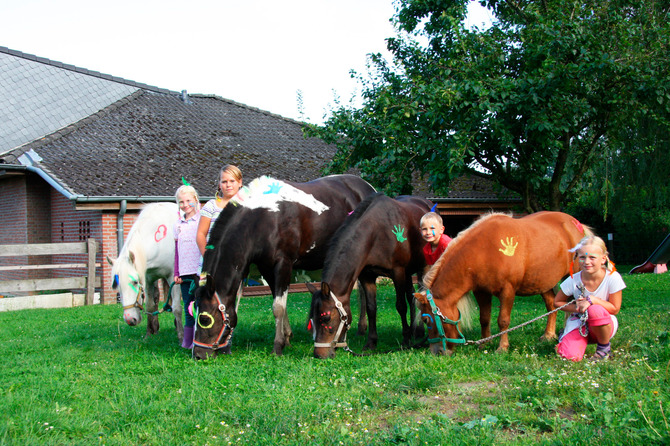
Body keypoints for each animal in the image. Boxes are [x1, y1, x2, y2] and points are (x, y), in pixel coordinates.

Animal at [109, 203, 185, 342]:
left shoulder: (174, 277)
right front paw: (149, 333)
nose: (130, 319)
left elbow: (177, 308)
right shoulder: (149, 277)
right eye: (117, 286)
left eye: (134, 282)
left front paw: (181, 337)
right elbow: (150, 305)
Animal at [193, 174, 378, 358]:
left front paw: (278, 346)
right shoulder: (267, 269)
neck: (265, 217)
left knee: (362, 291)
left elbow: (278, 307)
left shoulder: (284, 264)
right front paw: (287, 337)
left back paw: (362, 329)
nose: (198, 354)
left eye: (204, 319)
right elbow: (280, 303)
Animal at [308, 193, 430, 358]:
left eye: (326, 318)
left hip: (422, 268)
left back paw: (418, 332)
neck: (376, 233)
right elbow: (371, 308)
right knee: (411, 295)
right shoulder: (367, 276)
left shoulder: (398, 272)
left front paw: (405, 340)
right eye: (312, 319)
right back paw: (414, 330)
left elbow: (401, 306)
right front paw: (371, 342)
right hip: (408, 273)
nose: (319, 354)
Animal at [418, 212, 592, 356]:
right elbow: (484, 318)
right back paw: (548, 335)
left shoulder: (507, 290)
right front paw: (484, 343)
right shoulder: (481, 291)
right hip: (543, 282)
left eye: (426, 320)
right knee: (551, 305)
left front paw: (502, 347)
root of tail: (576, 224)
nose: (437, 352)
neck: (484, 251)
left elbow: (503, 320)